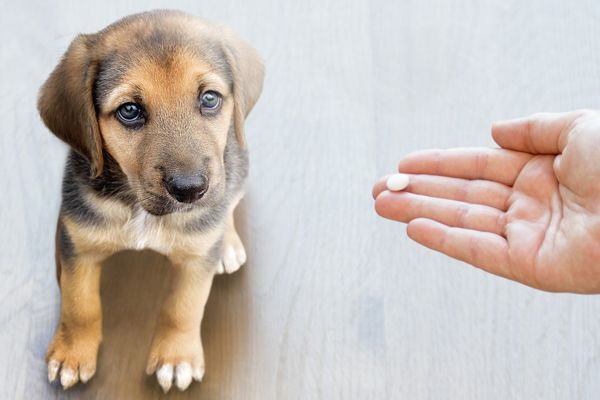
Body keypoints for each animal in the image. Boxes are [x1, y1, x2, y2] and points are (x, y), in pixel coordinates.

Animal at [37, 10, 262, 392]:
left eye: (210, 99)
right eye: (129, 110)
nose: (190, 190)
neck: (140, 208)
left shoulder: (195, 260)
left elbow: (183, 307)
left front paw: (176, 357)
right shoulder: (77, 244)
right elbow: (79, 304)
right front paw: (72, 353)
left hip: (237, 164)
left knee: (229, 201)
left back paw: (227, 243)